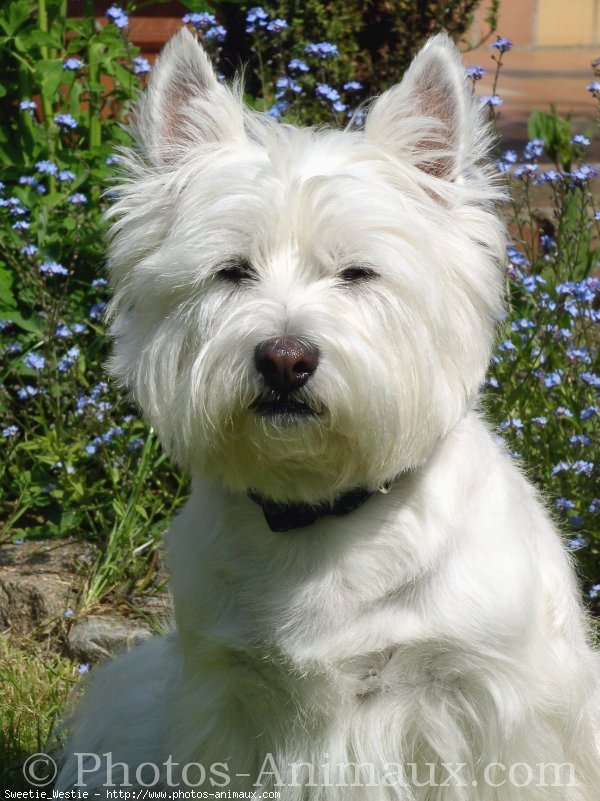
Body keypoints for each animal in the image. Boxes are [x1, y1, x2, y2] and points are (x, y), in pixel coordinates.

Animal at [54, 28, 596, 796]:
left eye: (358, 273)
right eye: (231, 271)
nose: (285, 359)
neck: (320, 520)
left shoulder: (482, 707)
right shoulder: (226, 694)